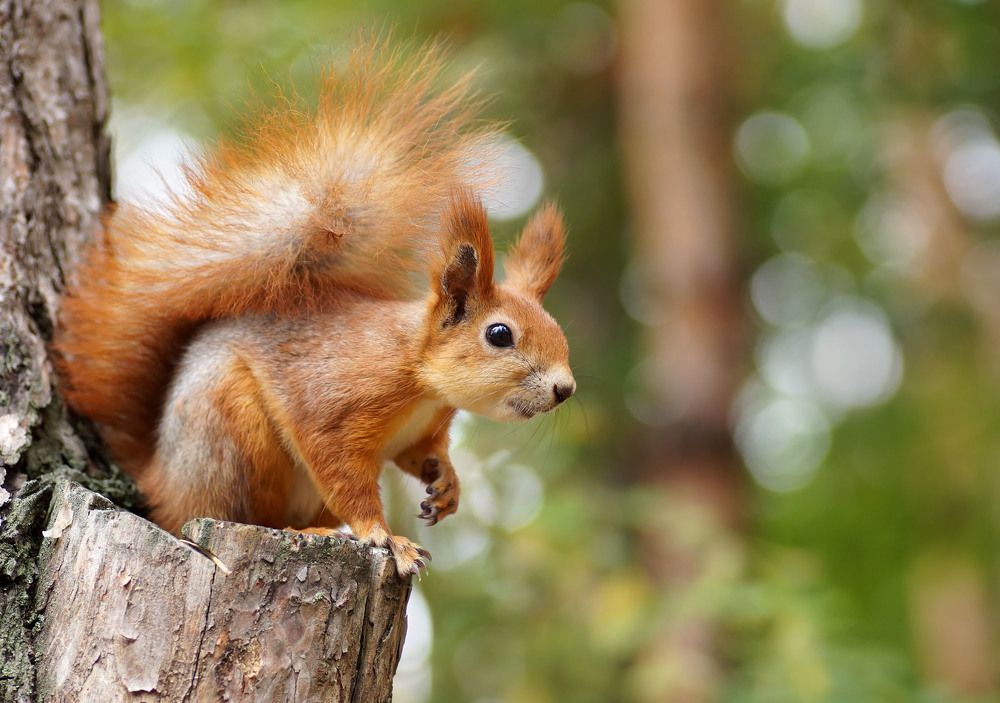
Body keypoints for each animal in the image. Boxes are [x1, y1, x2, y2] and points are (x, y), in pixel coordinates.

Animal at [54, 41, 575, 576]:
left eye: (558, 332)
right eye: (499, 334)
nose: (565, 389)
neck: (420, 378)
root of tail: (159, 477)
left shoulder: (419, 432)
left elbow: (419, 455)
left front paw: (446, 483)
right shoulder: (334, 407)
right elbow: (342, 473)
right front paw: (384, 537)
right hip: (233, 434)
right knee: (239, 511)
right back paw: (303, 532)